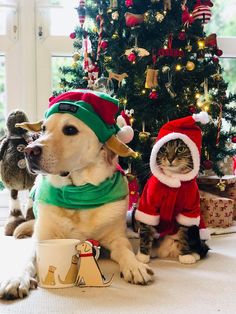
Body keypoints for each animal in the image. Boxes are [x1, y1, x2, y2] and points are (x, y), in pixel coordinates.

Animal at [0, 89, 154, 300]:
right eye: (44, 129)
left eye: (70, 130)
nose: (29, 151)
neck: (78, 194)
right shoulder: (41, 237)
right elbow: (27, 259)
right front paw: (16, 278)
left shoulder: (117, 239)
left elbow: (125, 251)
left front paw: (135, 266)